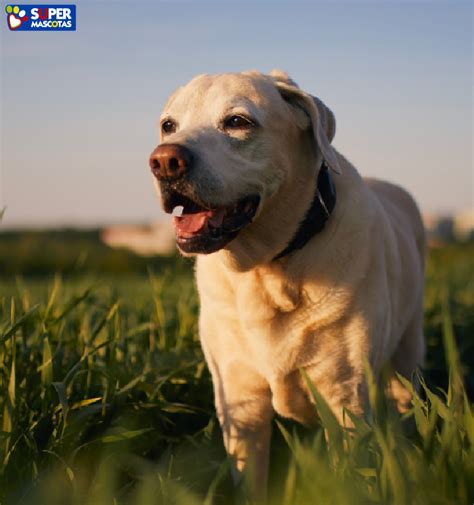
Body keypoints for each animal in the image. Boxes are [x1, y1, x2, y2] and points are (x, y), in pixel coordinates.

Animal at [148, 71, 426, 500]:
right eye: (168, 125)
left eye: (237, 121)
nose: (164, 161)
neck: (266, 272)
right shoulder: (238, 401)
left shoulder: (344, 397)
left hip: (408, 353)